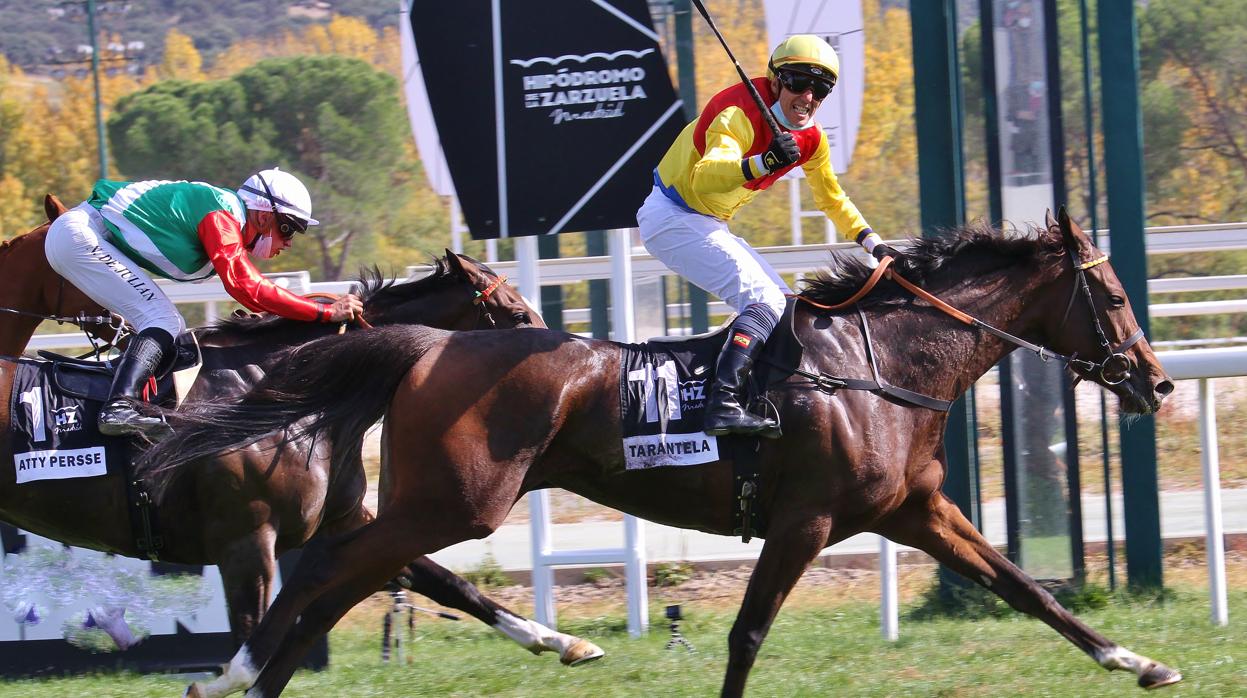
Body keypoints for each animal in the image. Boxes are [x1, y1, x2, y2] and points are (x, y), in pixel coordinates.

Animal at [1, 250, 603, 673]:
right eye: (517, 314)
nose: (572, 357)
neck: (287, 392)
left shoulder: (347, 521)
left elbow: (451, 583)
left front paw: (563, 641)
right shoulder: (247, 546)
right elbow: (251, 640)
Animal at [143, 209, 1177, 693]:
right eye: (1114, 295)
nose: (1157, 382)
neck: (875, 364)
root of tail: (428, 345)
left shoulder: (916, 511)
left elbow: (1023, 586)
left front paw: (1138, 661)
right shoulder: (804, 521)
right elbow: (747, 632)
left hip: (431, 504)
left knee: (345, 576)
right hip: (455, 501)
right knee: (332, 566)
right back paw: (233, 671)